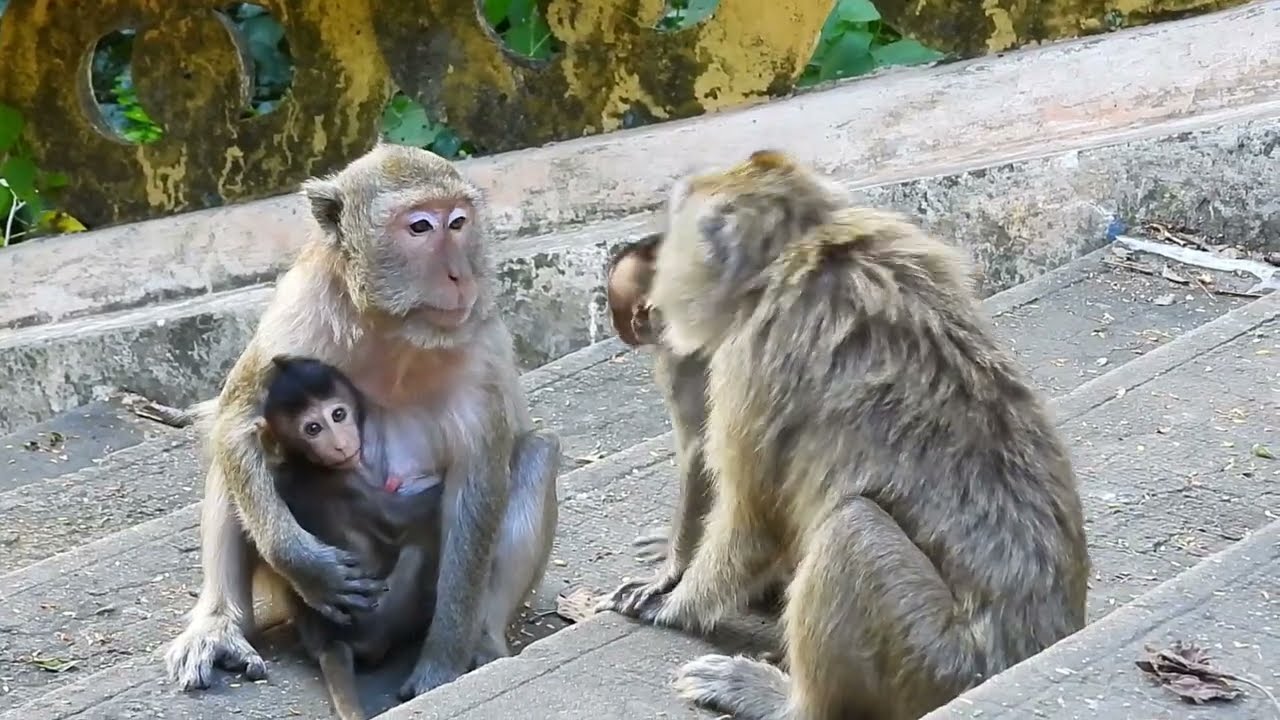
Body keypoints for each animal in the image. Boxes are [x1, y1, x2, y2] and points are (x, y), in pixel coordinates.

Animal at [256, 354, 444, 720]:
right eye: (312, 428)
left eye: (338, 414)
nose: (341, 444)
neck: (305, 462)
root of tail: (330, 640)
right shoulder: (350, 484)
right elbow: (405, 519)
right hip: (383, 622)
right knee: (417, 551)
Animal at [597, 150, 1090, 720]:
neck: (803, 243)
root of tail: (1028, 650)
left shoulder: (748, 362)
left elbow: (752, 518)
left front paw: (674, 600)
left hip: (932, 662)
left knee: (853, 528)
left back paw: (782, 700)